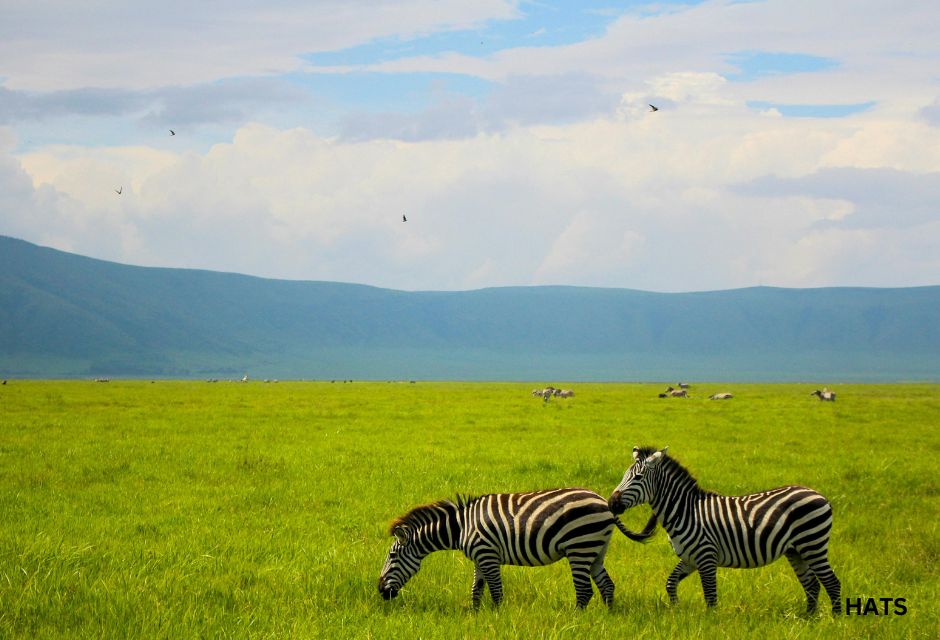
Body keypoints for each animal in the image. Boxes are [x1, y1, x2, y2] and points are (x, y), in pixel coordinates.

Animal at [378, 488, 656, 608]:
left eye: (392, 555)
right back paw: (607, 616)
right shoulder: (479, 557)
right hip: (596, 549)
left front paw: (497, 617)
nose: (381, 591)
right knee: (607, 586)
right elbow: (476, 590)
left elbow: (496, 592)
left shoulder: (487, 554)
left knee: (585, 591)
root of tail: (604, 502)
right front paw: (474, 616)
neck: (461, 527)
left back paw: (578, 619)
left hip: (580, 547)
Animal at [608, 444, 844, 616]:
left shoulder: (706, 556)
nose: (611, 503)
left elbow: (710, 595)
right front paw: (676, 609)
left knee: (831, 582)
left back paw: (835, 618)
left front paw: (711, 623)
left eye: (637, 478)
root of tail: (819, 495)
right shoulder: (690, 557)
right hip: (796, 550)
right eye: (624, 476)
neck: (686, 511)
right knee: (812, 584)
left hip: (812, 544)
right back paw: (809, 618)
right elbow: (670, 582)